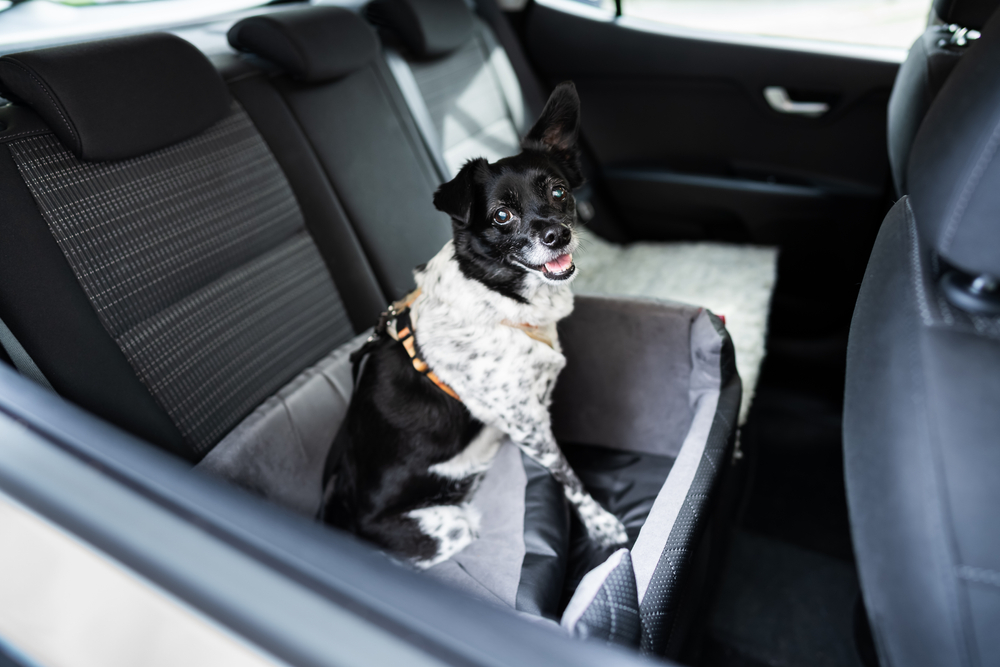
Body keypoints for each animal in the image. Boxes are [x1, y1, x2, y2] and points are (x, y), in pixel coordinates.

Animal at [324, 81, 624, 568]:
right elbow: (568, 476)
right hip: (450, 526)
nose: (557, 235)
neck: (496, 295)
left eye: (559, 192)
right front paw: (602, 525)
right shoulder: (527, 422)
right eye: (501, 214)